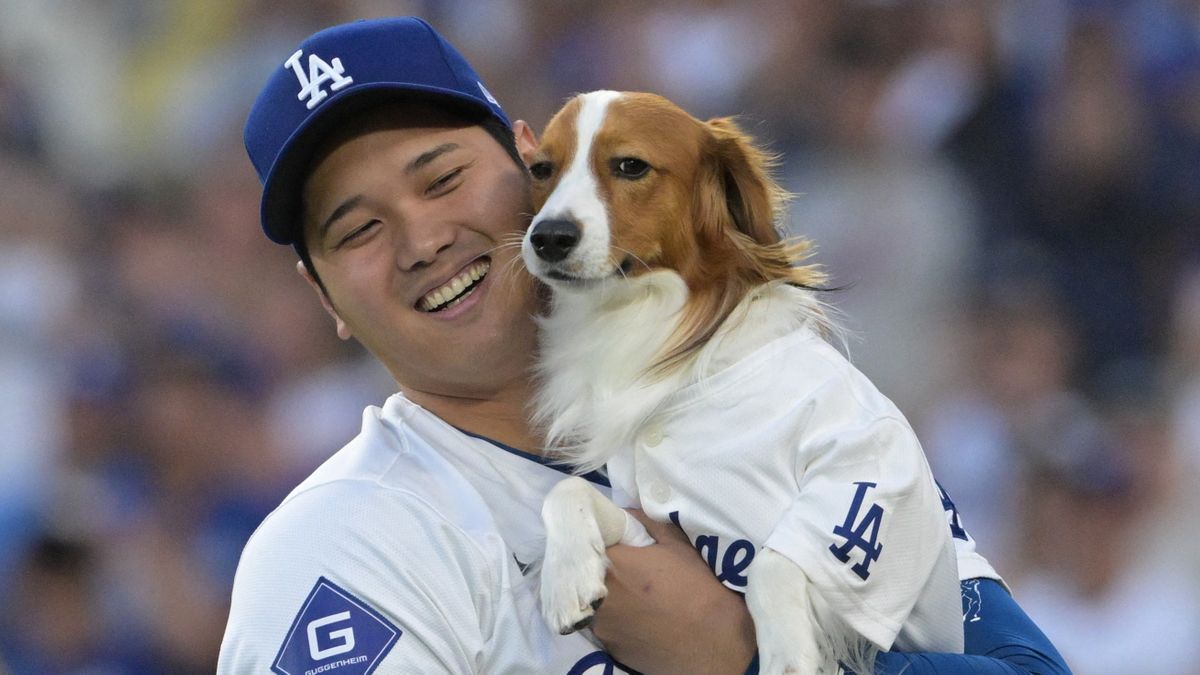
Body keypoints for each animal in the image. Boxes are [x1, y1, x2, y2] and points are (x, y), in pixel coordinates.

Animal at [520, 90, 960, 672]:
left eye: (630, 165)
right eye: (541, 169)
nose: (548, 237)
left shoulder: (877, 471)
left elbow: (775, 561)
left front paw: (788, 655)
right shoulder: (649, 527)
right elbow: (567, 491)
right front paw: (567, 577)